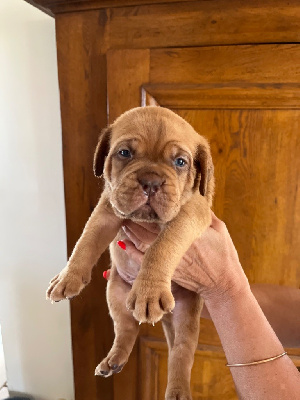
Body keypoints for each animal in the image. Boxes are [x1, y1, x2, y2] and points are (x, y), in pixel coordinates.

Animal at [47, 106, 214, 400]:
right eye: (125, 153)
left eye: (180, 162)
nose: (151, 181)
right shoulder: (106, 209)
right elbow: (86, 240)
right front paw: (68, 276)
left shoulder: (191, 213)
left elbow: (163, 245)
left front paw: (149, 291)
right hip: (115, 292)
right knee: (126, 329)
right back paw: (114, 360)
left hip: (187, 313)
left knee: (181, 352)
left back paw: (178, 389)